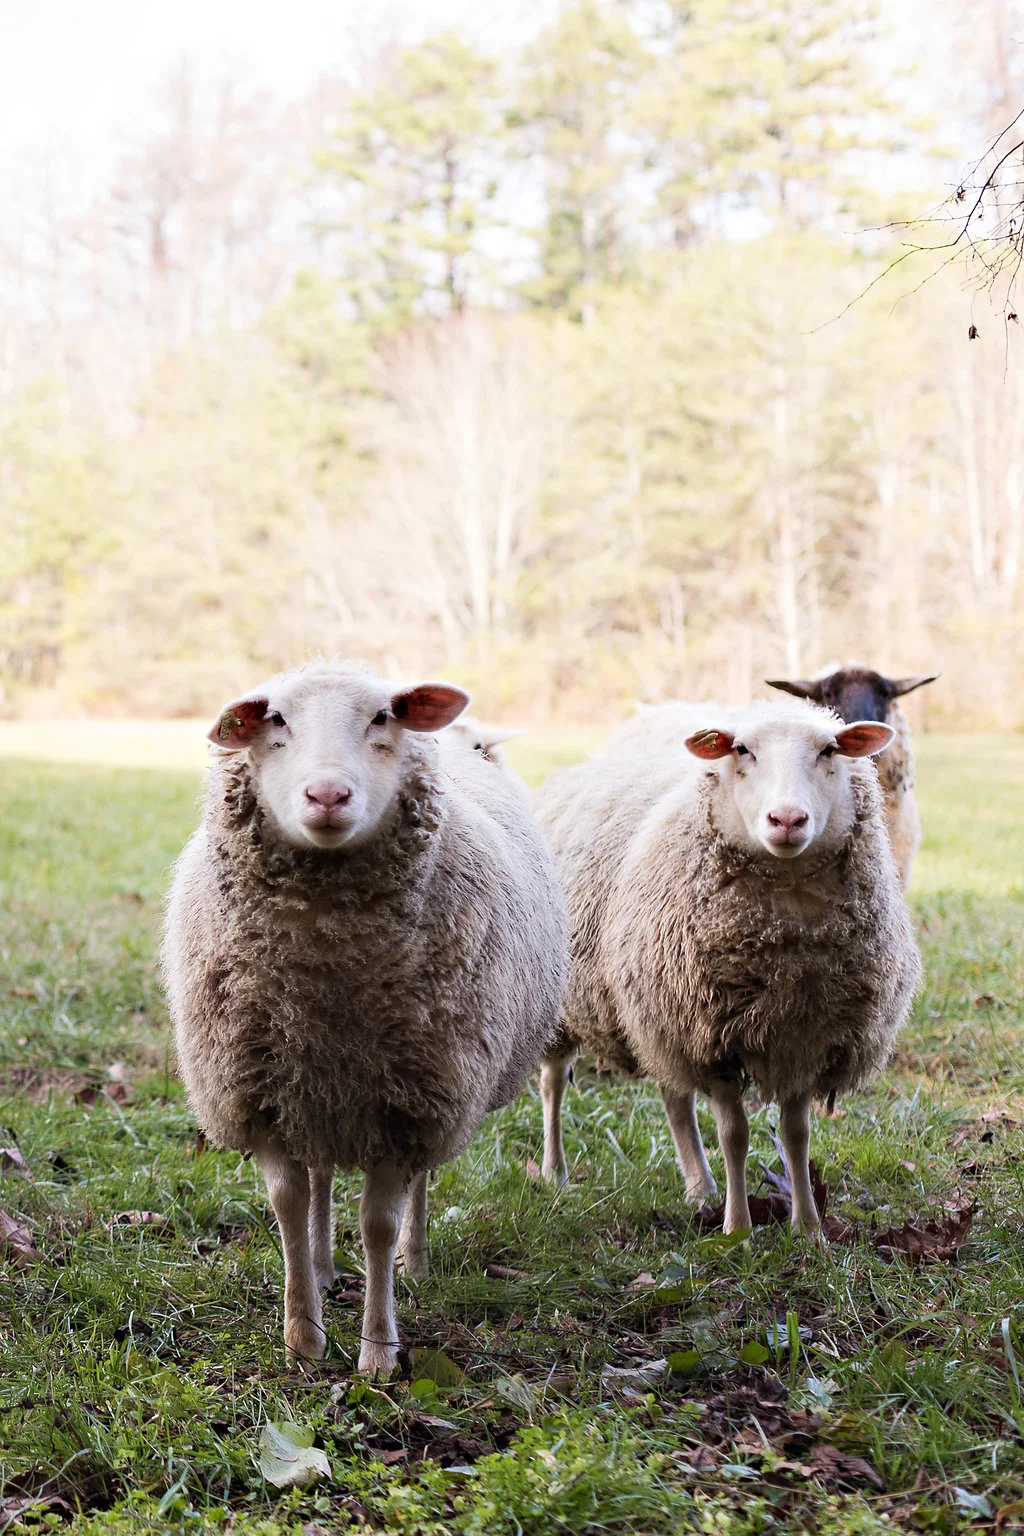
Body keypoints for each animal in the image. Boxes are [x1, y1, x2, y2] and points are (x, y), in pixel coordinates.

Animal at [162, 660, 567, 1376]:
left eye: (383, 716)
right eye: (275, 719)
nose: (327, 795)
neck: (328, 973)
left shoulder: (412, 1101)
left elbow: (379, 1223)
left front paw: (378, 1350)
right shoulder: (263, 1092)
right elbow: (288, 1204)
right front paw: (303, 1335)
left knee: (419, 1184)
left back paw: (415, 1259)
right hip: (319, 1091)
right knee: (322, 1174)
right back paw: (324, 1267)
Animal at [535, 698, 922, 1235]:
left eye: (829, 750)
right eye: (742, 750)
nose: (787, 819)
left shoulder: (803, 1037)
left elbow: (797, 1134)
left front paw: (809, 1228)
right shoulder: (712, 1037)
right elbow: (735, 1135)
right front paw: (737, 1230)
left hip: (658, 1010)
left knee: (675, 1099)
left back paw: (700, 1187)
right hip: (573, 1003)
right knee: (553, 1082)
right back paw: (555, 1172)